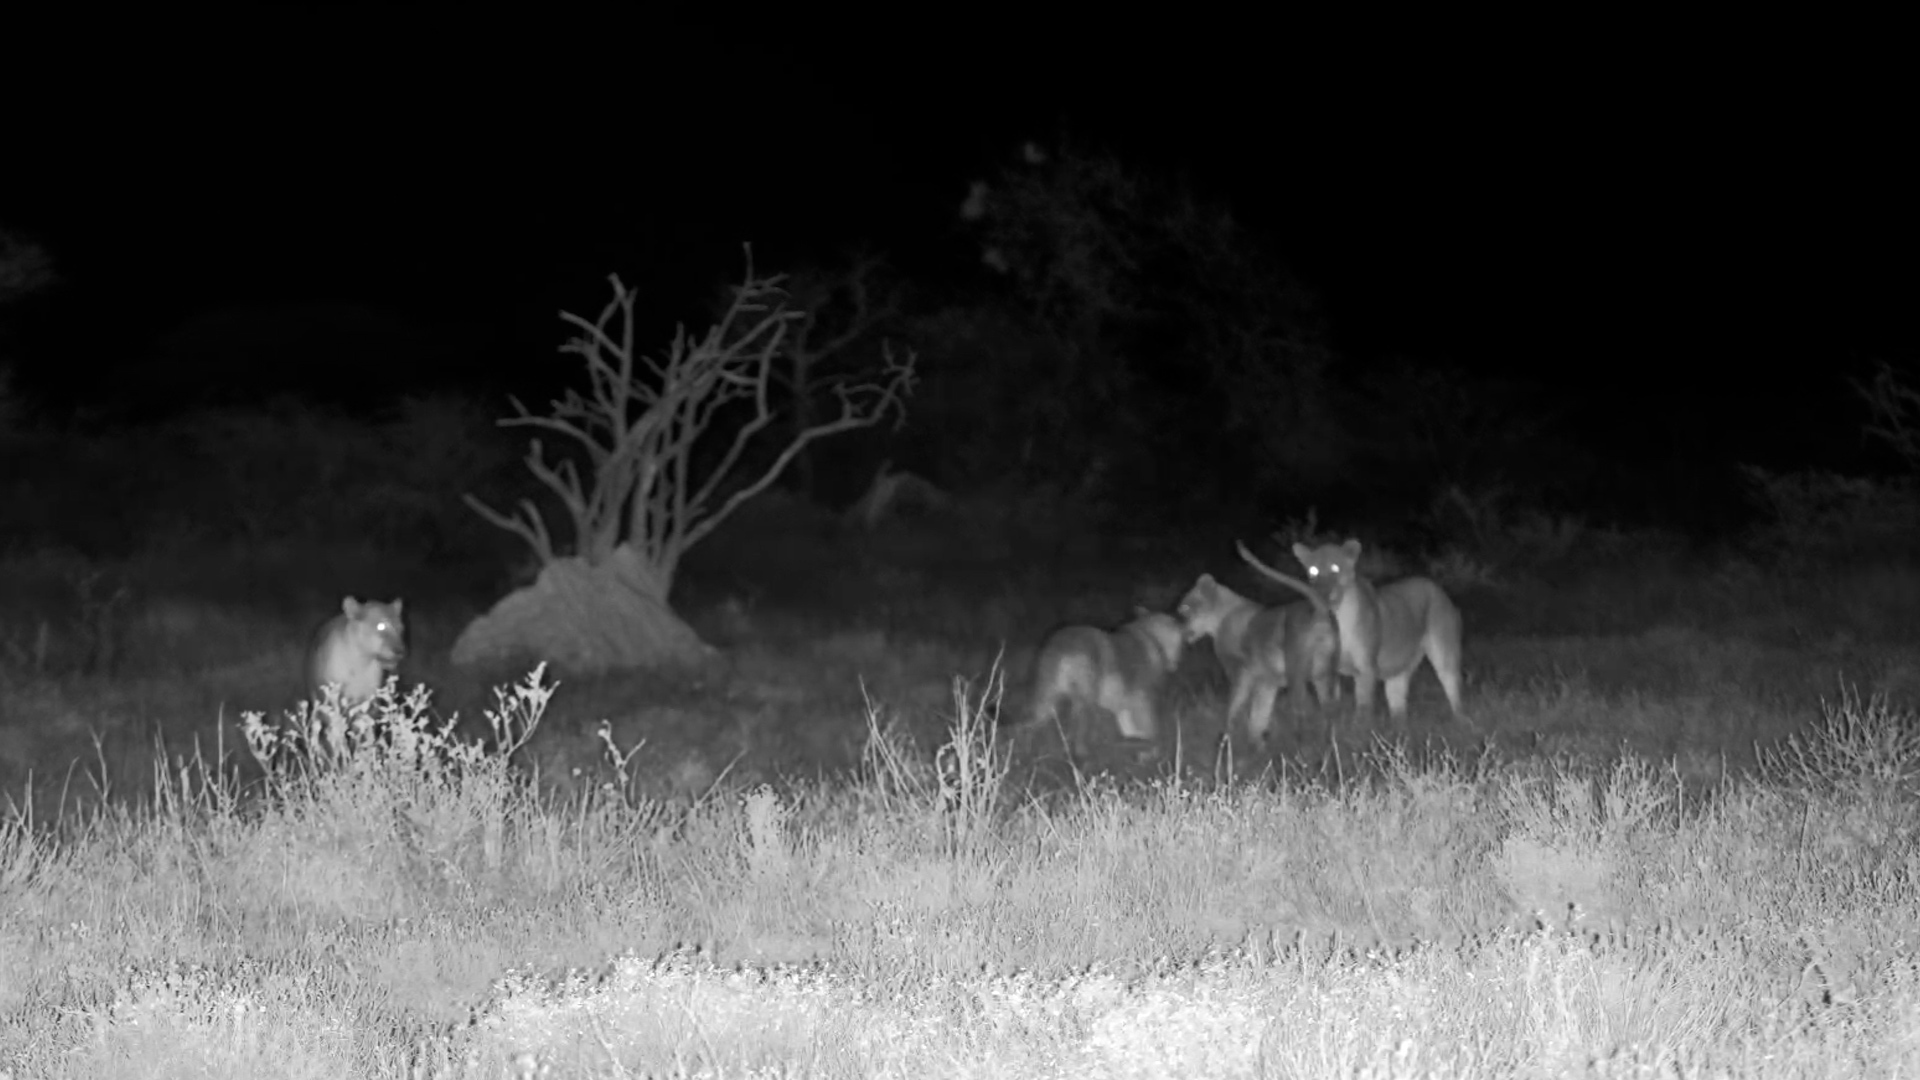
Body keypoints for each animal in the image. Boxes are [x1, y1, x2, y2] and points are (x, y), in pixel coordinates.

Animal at [1177, 571, 1339, 744]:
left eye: (1186, 607)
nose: (1182, 632)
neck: (1222, 619)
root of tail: (1319, 611)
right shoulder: (1267, 680)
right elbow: (1259, 714)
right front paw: (1257, 743)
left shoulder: (1240, 673)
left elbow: (1235, 707)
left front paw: (1228, 739)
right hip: (1323, 675)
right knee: (1329, 708)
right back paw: (1327, 743)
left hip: (1296, 674)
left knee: (1302, 710)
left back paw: (1302, 746)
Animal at [1236, 539, 1466, 722]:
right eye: (1313, 570)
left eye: (1335, 568)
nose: (1322, 593)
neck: (1338, 617)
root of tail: (1434, 585)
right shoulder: (1327, 670)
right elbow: (1331, 701)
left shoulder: (1366, 668)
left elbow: (1363, 707)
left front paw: (1359, 735)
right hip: (1397, 674)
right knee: (1398, 704)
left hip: (1444, 654)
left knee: (1453, 689)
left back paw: (1459, 722)